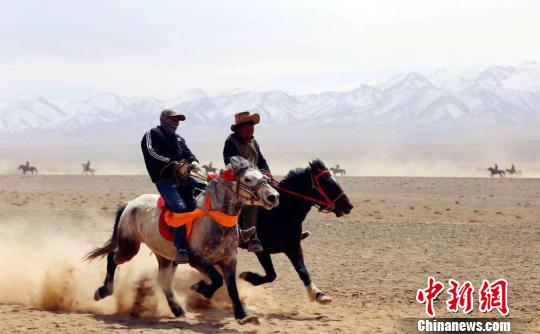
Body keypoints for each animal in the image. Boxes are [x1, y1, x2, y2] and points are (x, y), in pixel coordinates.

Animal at [85, 158, 278, 324]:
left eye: (263, 175)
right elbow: (217, 280)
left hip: (165, 256)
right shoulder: (197, 259)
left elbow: (232, 288)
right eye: (247, 179)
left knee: (163, 281)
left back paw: (178, 310)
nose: (273, 196)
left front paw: (242, 315)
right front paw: (200, 288)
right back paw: (102, 291)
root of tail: (130, 204)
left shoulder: (229, 260)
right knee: (112, 258)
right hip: (129, 246)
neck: (213, 217)